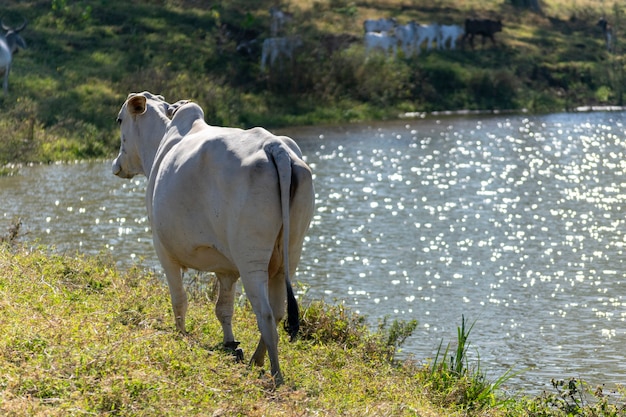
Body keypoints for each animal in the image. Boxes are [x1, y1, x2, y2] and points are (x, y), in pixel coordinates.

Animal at [112, 92, 314, 386]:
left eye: (119, 120)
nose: (116, 165)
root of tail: (275, 147)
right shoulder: (226, 269)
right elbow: (223, 309)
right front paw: (230, 344)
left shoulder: (163, 249)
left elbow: (179, 299)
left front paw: (181, 335)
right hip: (289, 253)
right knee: (277, 311)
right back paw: (255, 361)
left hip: (251, 258)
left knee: (265, 314)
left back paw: (275, 374)